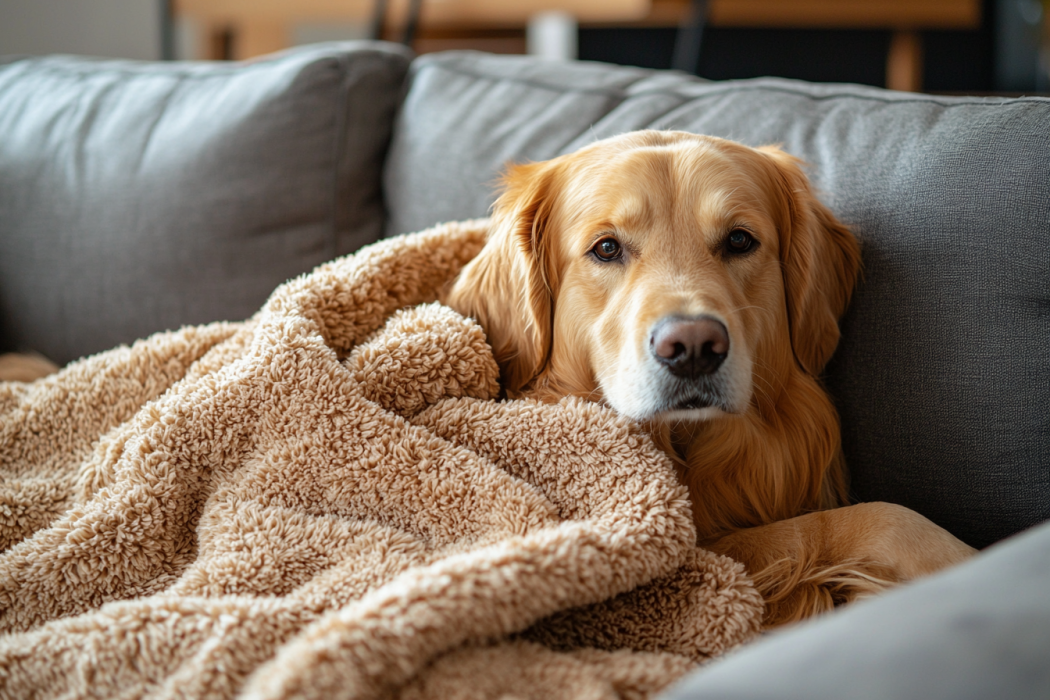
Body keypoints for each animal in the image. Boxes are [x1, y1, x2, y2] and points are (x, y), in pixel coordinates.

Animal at [443, 130, 974, 625]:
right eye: (607, 248)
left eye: (739, 240)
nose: (694, 347)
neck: (687, 447)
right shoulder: (707, 550)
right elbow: (858, 520)